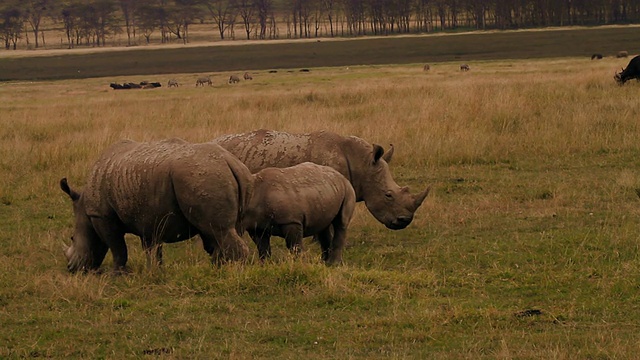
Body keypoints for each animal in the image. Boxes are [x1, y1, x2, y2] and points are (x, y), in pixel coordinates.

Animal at [58, 139, 251, 272]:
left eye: (72, 238)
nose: (71, 268)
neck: (84, 206)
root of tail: (229, 161)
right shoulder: (149, 219)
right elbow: (152, 249)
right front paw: (155, 271)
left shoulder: (101, 215)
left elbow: (117, 247)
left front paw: (116, 274)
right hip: (211, 176)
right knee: (221, 233)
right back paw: (215, 268)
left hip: (202, 176)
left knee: (219, 231)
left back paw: (230, 271)